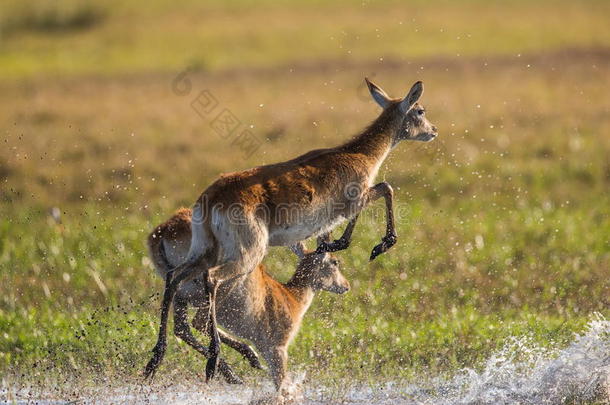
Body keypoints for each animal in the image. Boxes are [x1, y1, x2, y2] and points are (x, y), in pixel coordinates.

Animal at [147, 207, 350, 390]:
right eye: (335, 262)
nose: (346, 285)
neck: (291, 296)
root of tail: (164, 231)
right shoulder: (278, 349)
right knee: (199, 320)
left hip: (181, 293)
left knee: (181, 324)